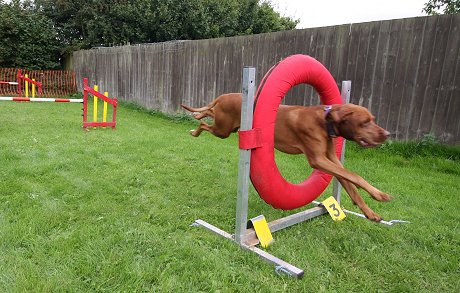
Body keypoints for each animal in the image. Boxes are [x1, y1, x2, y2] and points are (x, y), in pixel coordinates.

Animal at [181, 92, 390, 220]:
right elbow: (355, 176)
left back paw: (198, 117)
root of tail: (223, 96)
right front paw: (379, 195)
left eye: (373, 119)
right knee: (205, 122)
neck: (325, 122)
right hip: (223, 130)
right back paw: (195, 128)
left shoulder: (332, 159)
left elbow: (349, 182)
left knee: (208, 113)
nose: (387, 134)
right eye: (364, 122)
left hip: (226, 128)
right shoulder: (318, 160)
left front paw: (369, 211)